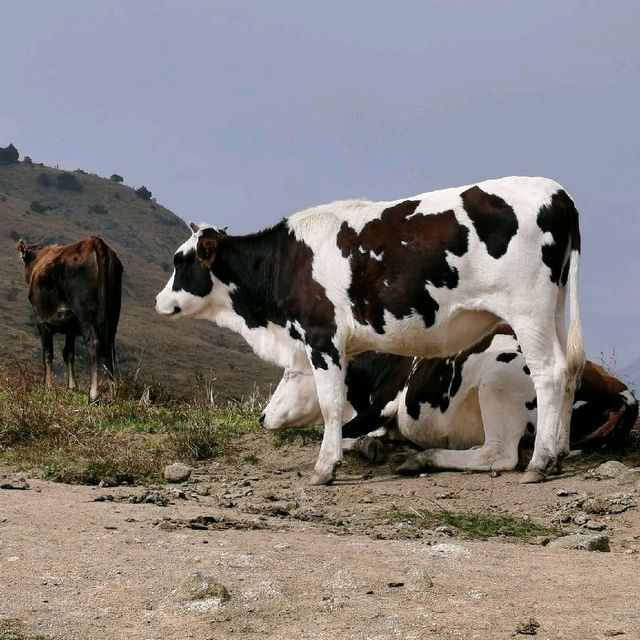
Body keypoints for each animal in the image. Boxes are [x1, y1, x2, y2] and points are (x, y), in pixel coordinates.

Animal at [17, 238, 122, 402]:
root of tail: (94, 242)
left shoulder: (42, 321)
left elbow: (48, 354)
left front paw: (48, 387)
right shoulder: (71, 327)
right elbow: (69, 354)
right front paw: (72, 387)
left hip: (86, 312)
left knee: (94, 343)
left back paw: (94, 395)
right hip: (113, 311)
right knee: (109, 347)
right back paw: (112, 394)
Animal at [156, 175, 584, 484]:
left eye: (181, 261)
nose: (159, 300)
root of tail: (557, 193)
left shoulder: (322, 336)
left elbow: (332, 405)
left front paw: (324, 468)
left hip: (526, 315)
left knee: (547, 376)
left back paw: (539, 462)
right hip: (554, 307)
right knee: (570, 367)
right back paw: (558, 453)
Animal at [260, 328, 636, 472]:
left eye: (291, 373)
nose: (262, 416)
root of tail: (624, 393)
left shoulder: (380, 405)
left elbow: (339, 434)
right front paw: (376, 445)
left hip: (497, 380)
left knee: (500, 455)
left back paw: (423, 458)